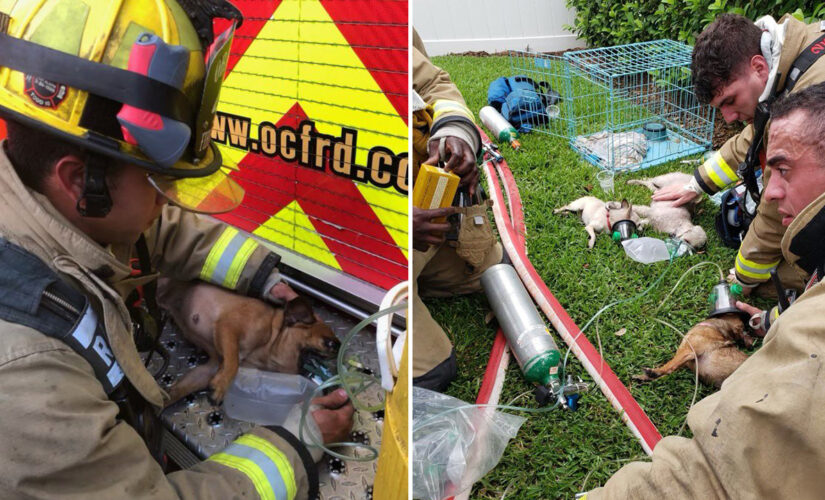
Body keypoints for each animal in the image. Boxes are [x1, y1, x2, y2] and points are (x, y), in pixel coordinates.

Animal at [156, 280, 340, 404]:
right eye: (329, 343)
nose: (339, 347)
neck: (270, 341)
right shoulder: (229, 327)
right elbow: (233, 363)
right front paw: (222, 386)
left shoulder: (210, 369)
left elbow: (176, 391)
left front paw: (161, 401)